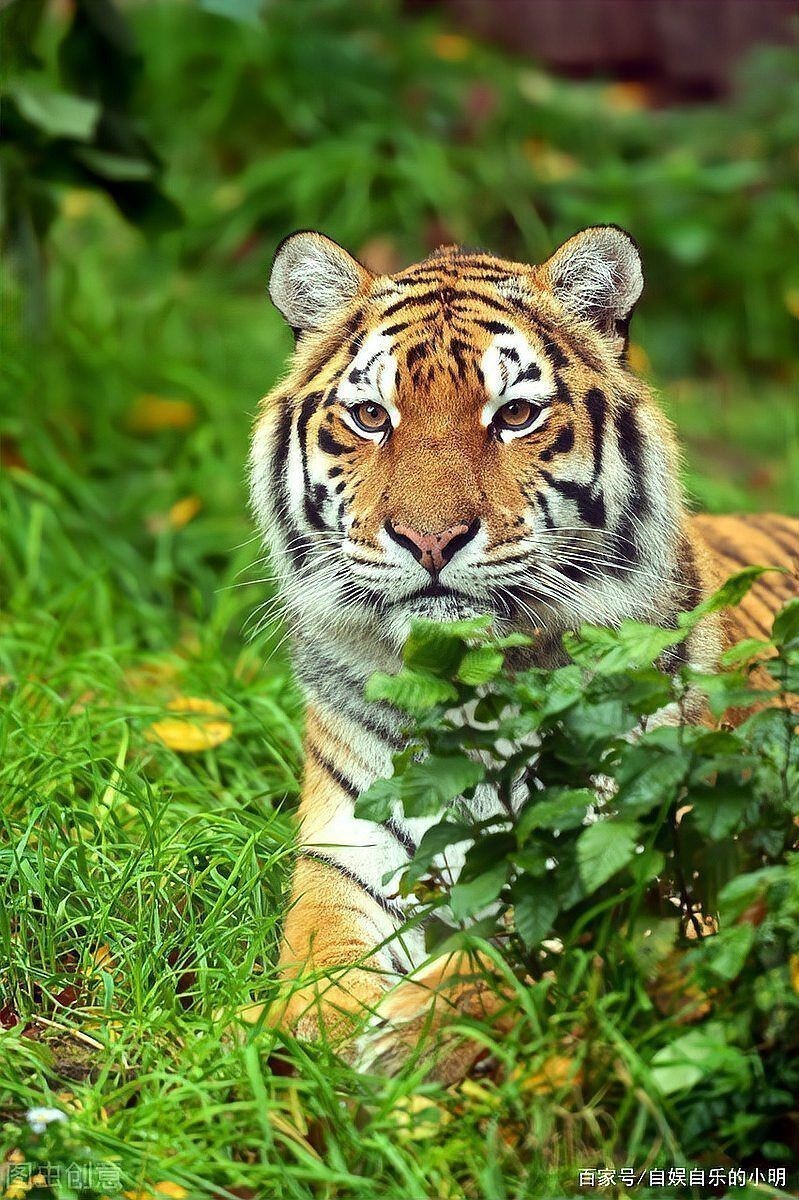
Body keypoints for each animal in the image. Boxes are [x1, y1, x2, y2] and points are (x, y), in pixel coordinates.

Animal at [248, 225, 798, 1080]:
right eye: (371, 415)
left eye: (512, 414)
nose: (429, 539)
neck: (469, 694)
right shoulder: (342, 859)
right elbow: (320, 956)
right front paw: (306, 1027)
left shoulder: (652, 861)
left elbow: (523, 935)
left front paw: (411, 1030)